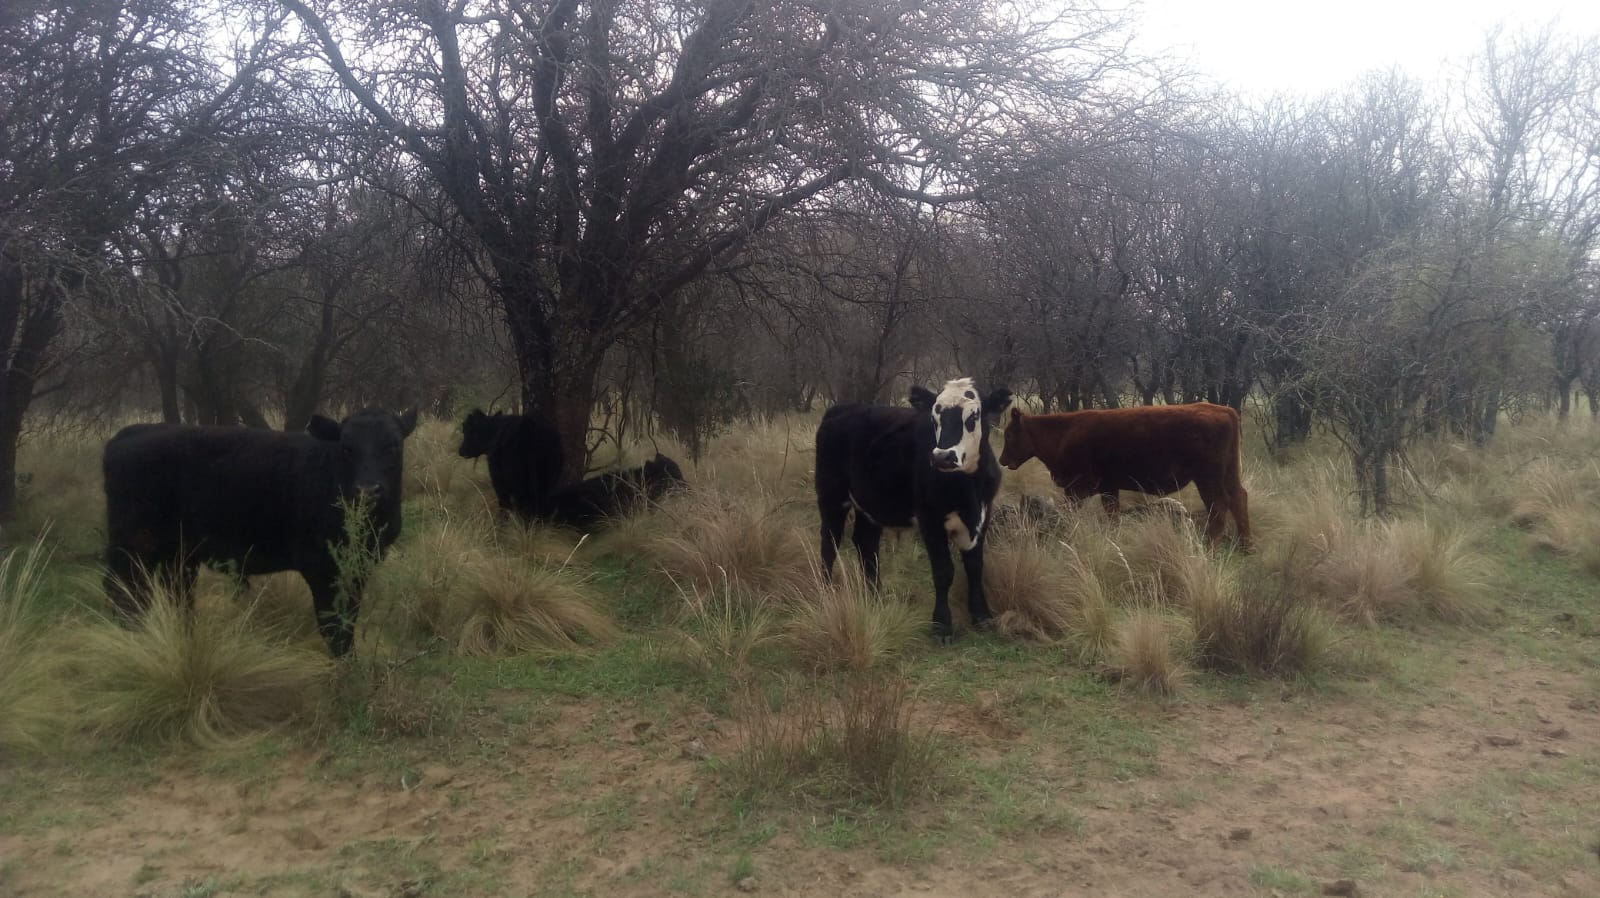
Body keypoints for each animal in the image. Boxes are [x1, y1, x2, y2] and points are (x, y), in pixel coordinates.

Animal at [812, 374, 1011, 640]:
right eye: (934, 417)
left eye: (973, 417)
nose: (942, 457)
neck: (968, 489)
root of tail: (841, 409)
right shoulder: (929, 519)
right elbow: (944, 571)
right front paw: (942, 625)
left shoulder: (981, 515)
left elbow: (975, 566)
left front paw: (982, 617)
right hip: (831, 495)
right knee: (830, 542)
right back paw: (826, 592)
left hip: (870, 503)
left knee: (866, 543)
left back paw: (876, 597)